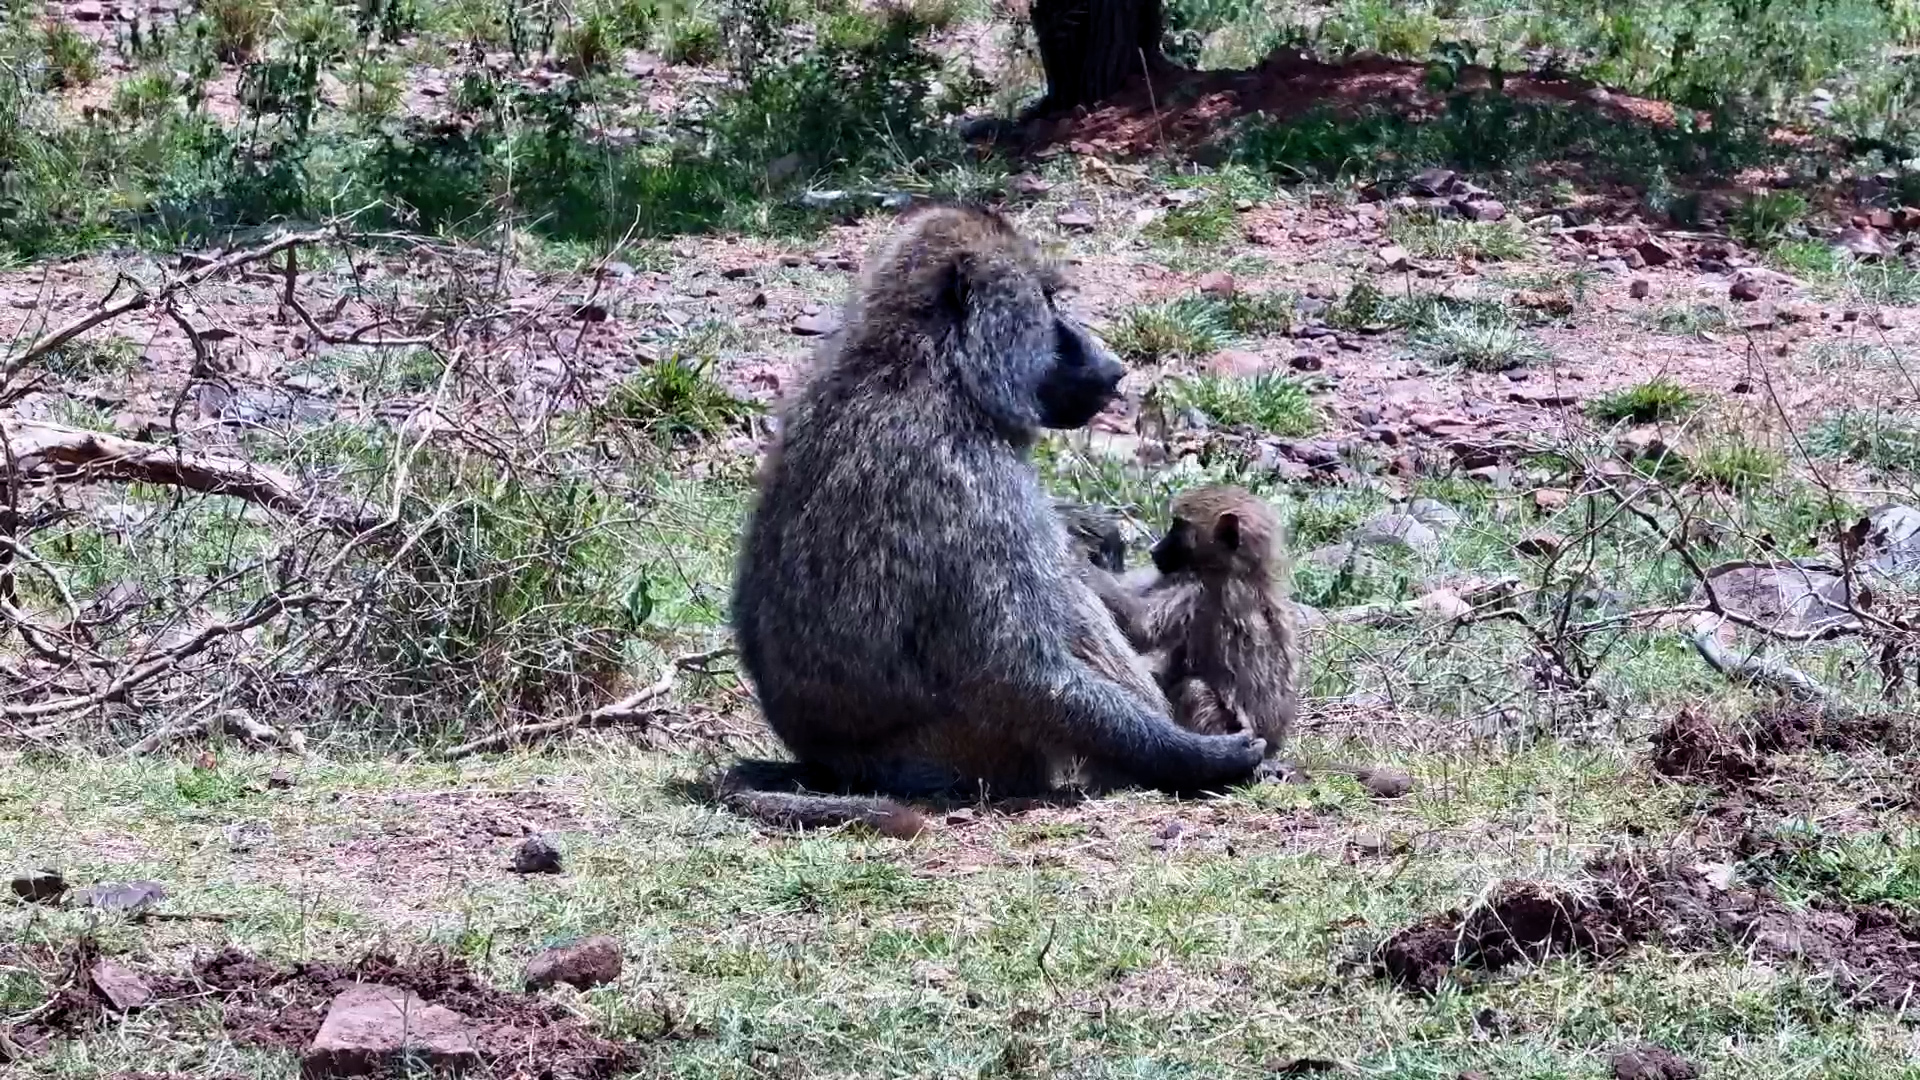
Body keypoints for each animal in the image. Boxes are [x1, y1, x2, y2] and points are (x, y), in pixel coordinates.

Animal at [722, 205, 1267, 836]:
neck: (934, 368)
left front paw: (1096, 528)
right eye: (1048, 300)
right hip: (959, 749)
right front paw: (1200, 758)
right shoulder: (970, 480)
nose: (1113, 368)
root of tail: (832, 766)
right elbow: (1012, 667)